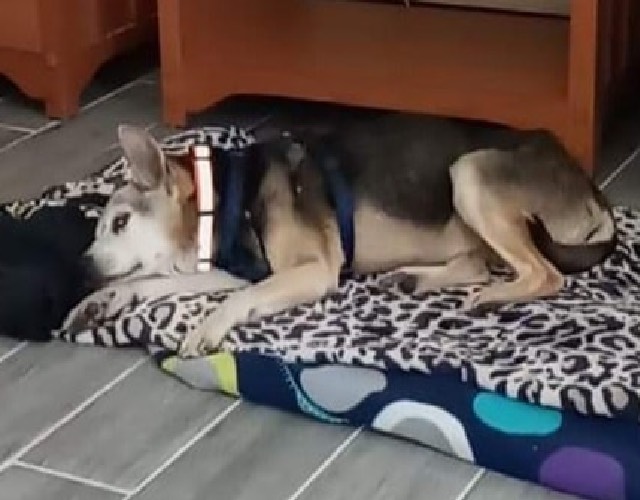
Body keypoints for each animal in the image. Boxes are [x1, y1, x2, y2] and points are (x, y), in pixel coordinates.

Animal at [77, 114, 616, 357]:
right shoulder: (245, 269)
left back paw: (491, 297)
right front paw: (103, 300)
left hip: (470, 172)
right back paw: (416, 279)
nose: (83, 267)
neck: (226, 195)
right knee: (481, 263)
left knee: (544, 274)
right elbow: (156, 283)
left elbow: (236, 298)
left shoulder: (311, 271)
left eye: (120, 223)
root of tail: (588, 182)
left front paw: (207, 328)